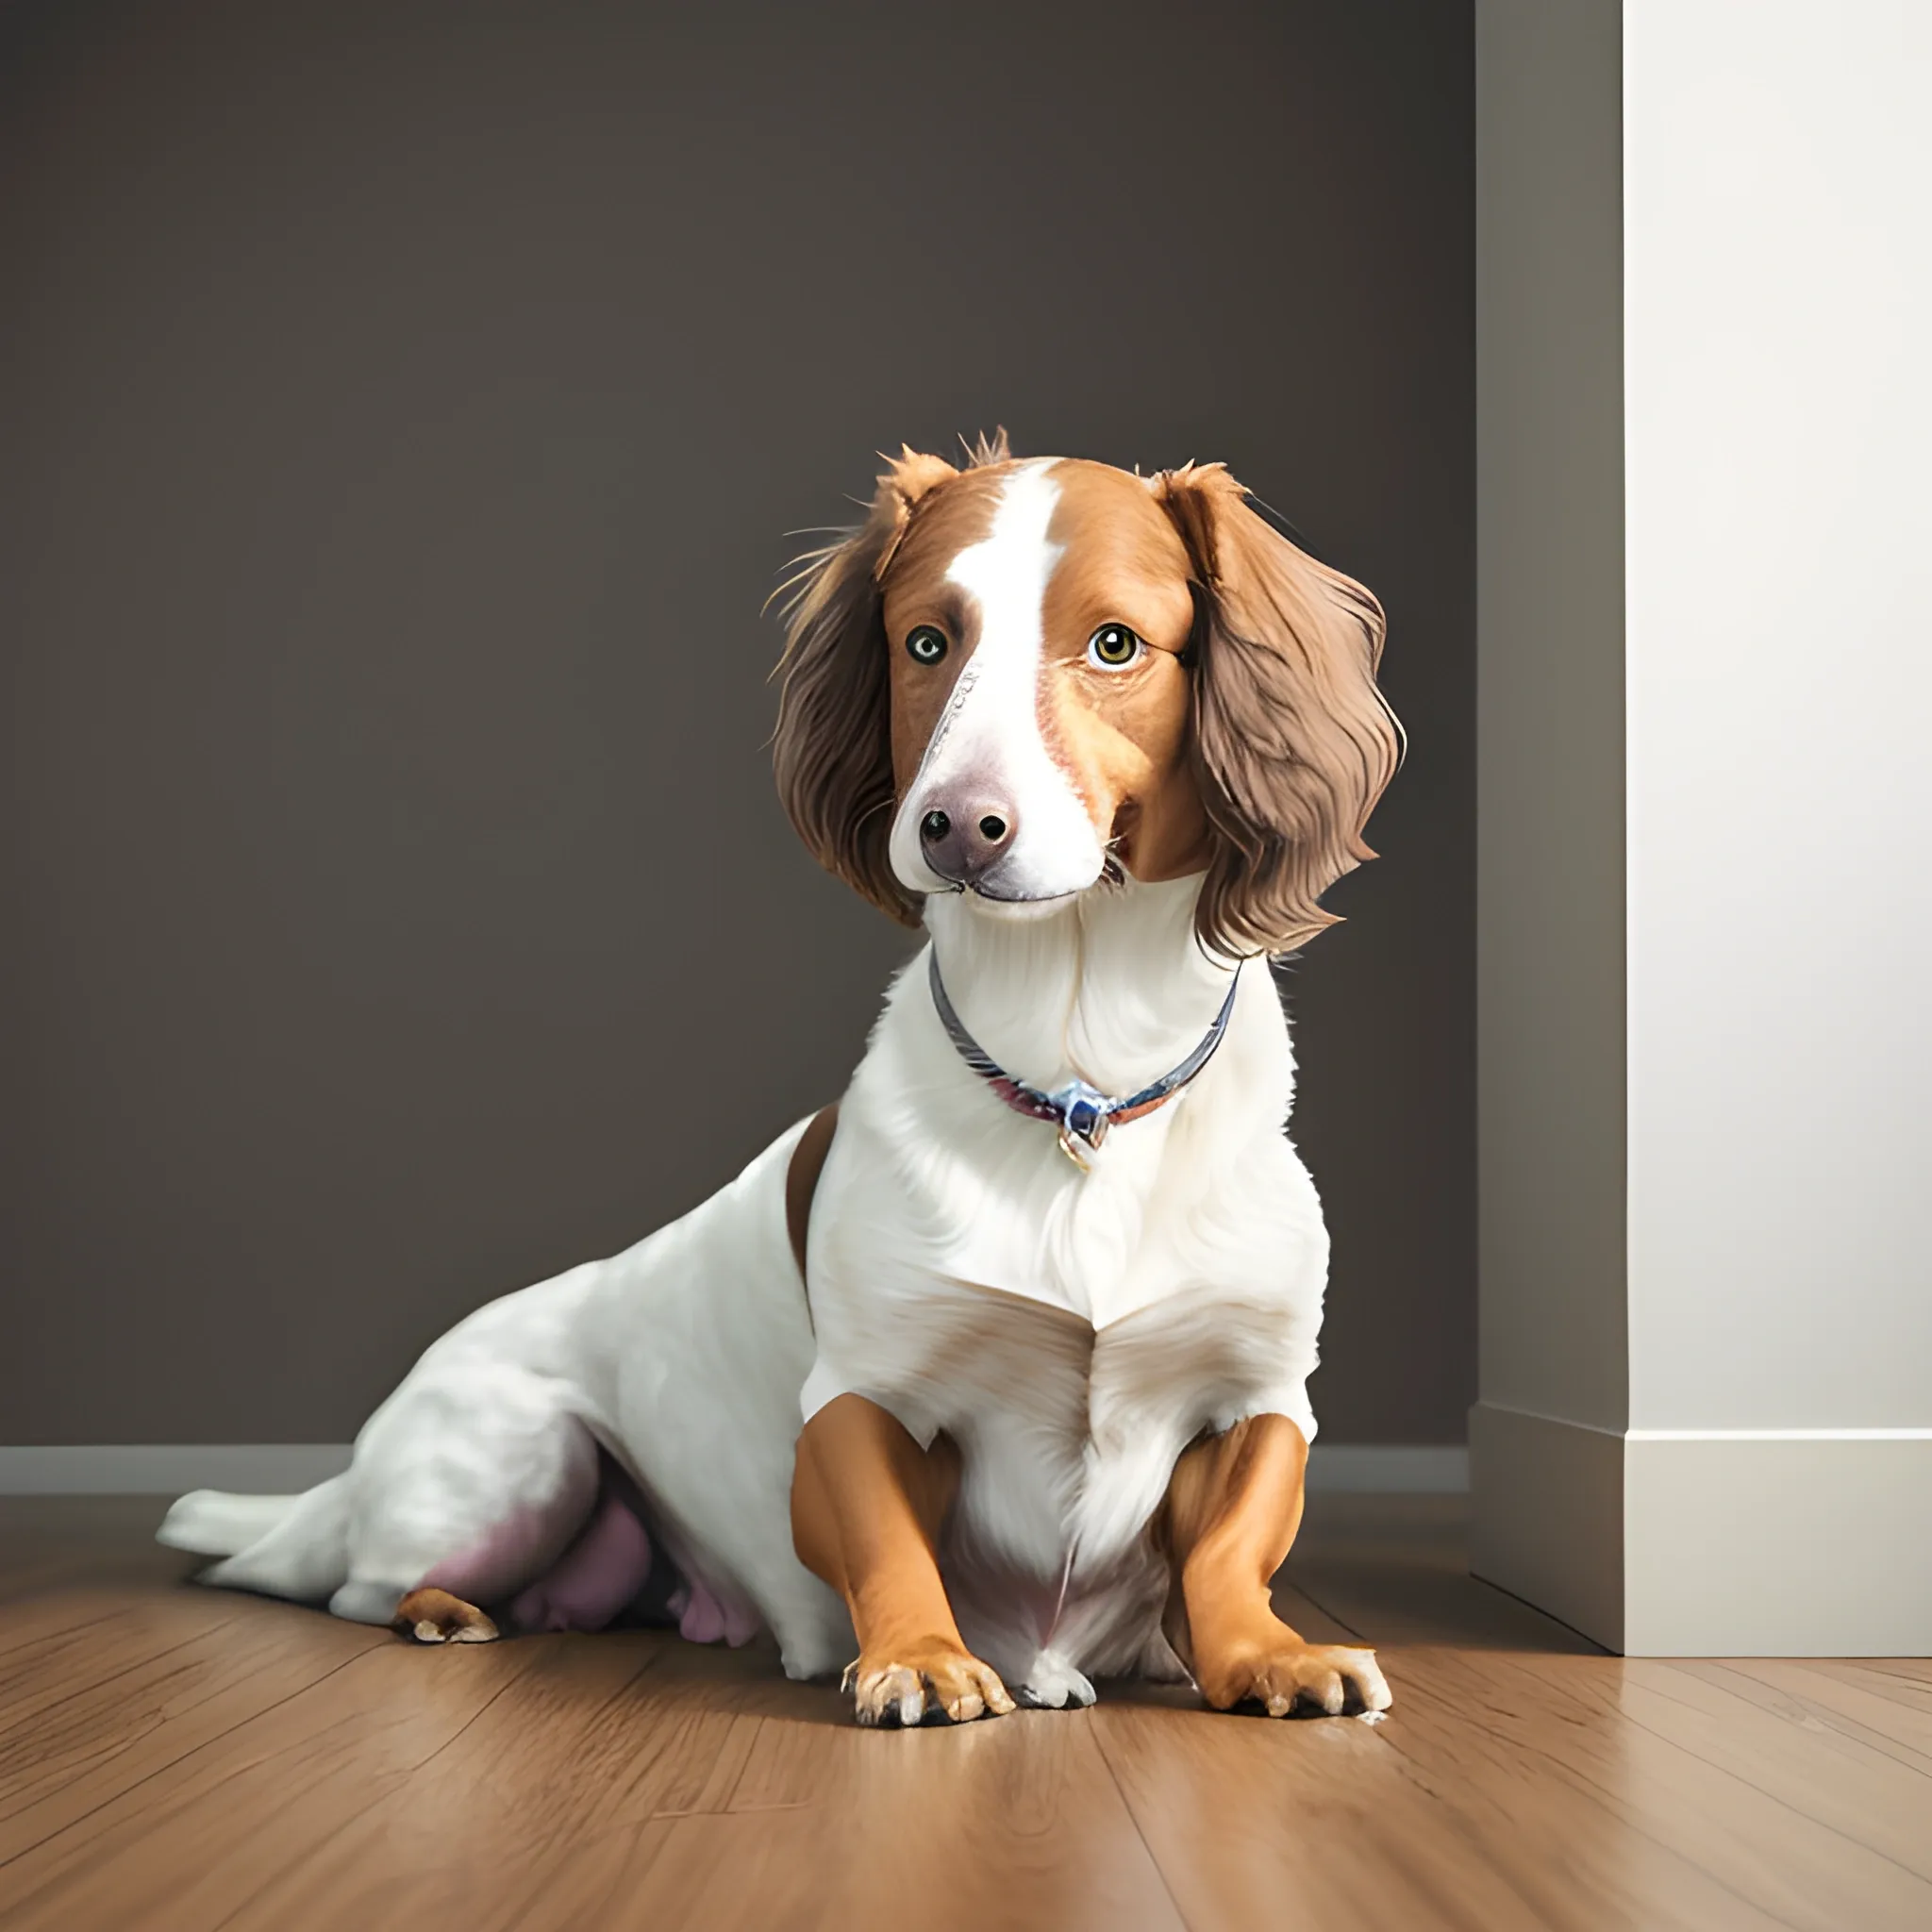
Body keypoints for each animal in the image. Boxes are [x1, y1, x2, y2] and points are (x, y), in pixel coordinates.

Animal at [158, 434, 1406, 1723]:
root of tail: (351, 1473)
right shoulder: (864, 1393)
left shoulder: (1258, 1392)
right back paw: (442, 1610)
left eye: (1114, 643)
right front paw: (921, 1655)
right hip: (520, 1457)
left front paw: (1262, 1652)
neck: (1079, 1087)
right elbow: (884, 1534)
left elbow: (1228, 1546)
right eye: (925, 641)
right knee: (359, 1585)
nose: (956, 825)